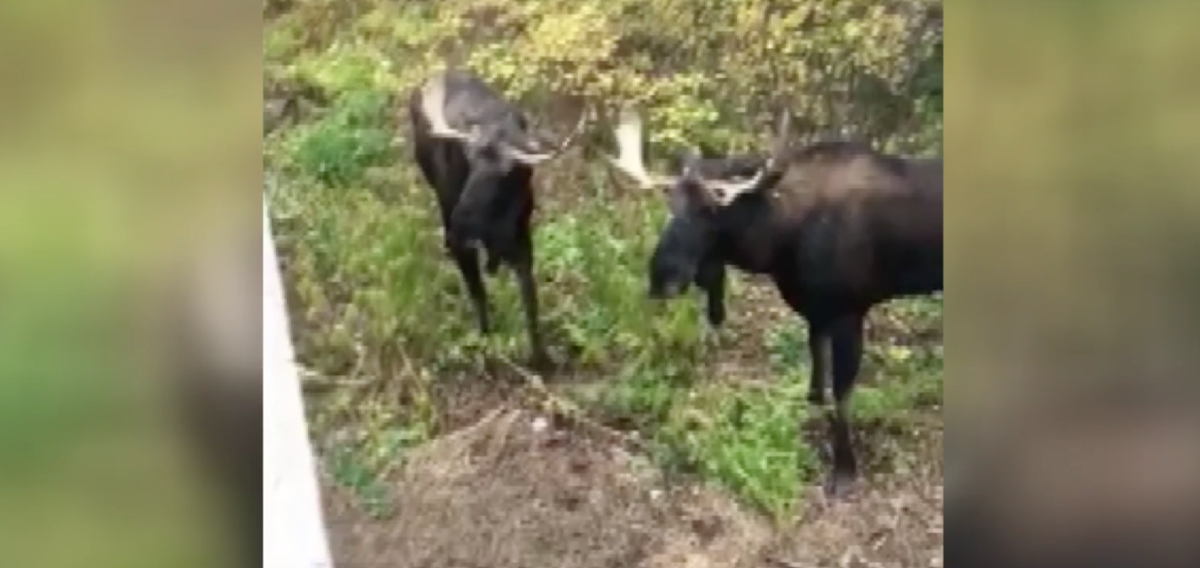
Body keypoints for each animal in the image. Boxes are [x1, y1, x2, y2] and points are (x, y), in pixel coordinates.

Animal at [407, 70, 585, 365]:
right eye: (469, 158)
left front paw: (542, 359)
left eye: (506, 171)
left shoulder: (521, 239)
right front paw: (487, 348)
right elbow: (478, 294)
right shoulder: (464, 246)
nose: (461, 223)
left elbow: (530, 300)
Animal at [604, 107, 943, 497]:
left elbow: (842, 396)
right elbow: (817, 377)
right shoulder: (816, 312)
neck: (781, 241)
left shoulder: (849, 312)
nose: (661, 278)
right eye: (670, 205)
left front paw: (844, 470)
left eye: (711, 210)